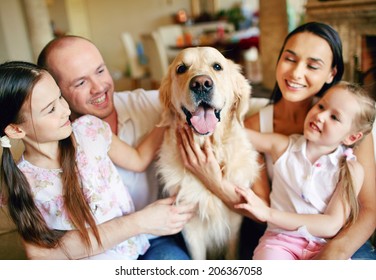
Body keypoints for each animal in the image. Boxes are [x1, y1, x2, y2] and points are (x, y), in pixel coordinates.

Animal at [156, 47, 258, 260]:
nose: (201, 83)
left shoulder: (234, 225)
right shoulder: (190, 227)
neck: (208, 145)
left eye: (217, 66)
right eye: (181, 69)